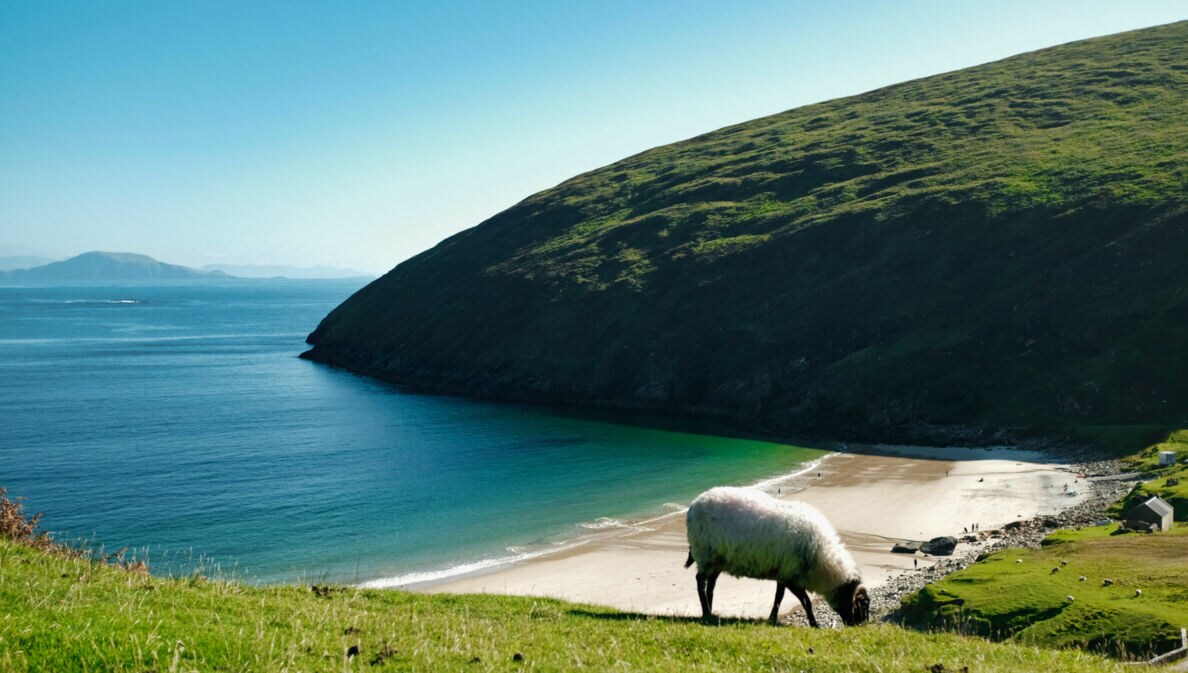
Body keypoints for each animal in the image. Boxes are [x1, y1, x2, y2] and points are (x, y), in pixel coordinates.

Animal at [684, 486, 869, 627]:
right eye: (861, 605)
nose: (859, 627)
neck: (823, 558)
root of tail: (693, 505)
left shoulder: (784, 573)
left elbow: (778, 597)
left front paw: (772, 619)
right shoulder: (792, 577)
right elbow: (806, 601)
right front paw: (814, 624)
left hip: (717, 559)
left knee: (711, 585)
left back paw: (711, 612)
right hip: (705, 553)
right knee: (700, 581)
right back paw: (706, 612)